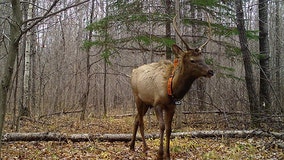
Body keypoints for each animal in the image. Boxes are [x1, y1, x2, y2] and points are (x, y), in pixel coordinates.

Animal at [129, 15, 213, 160]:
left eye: (203, 58)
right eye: (192, 60)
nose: (210, 71)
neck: (172, 89)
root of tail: (133, 72)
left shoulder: (171, 106)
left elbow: (169, 129)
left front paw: (167, 154)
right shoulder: (157, 104)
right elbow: (162, 126)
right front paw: (159, 154)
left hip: (146, 103)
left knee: (136, 120)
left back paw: (132, 146)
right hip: (137, 98)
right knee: (141, 122)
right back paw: (145, 148)